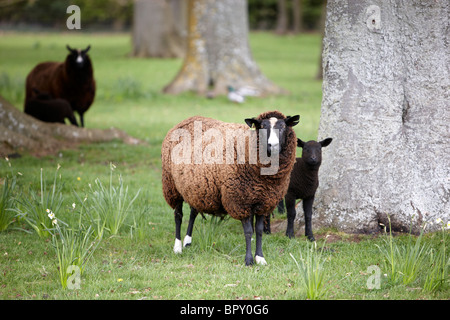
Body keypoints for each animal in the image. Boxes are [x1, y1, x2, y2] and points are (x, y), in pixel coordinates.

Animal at [162, 111, 298, 266]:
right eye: (262, 126)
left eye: (283, 127)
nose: (272, 145)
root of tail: (186, 120)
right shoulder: (239, 201)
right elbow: (248, 231)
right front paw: (249, 260)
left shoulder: (264, 202)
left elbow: (259, 230)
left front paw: (260, 258)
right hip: (172, 186)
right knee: (178, 216)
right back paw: (178, 247)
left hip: (197, 188)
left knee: (193, 213)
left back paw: (187, 242)